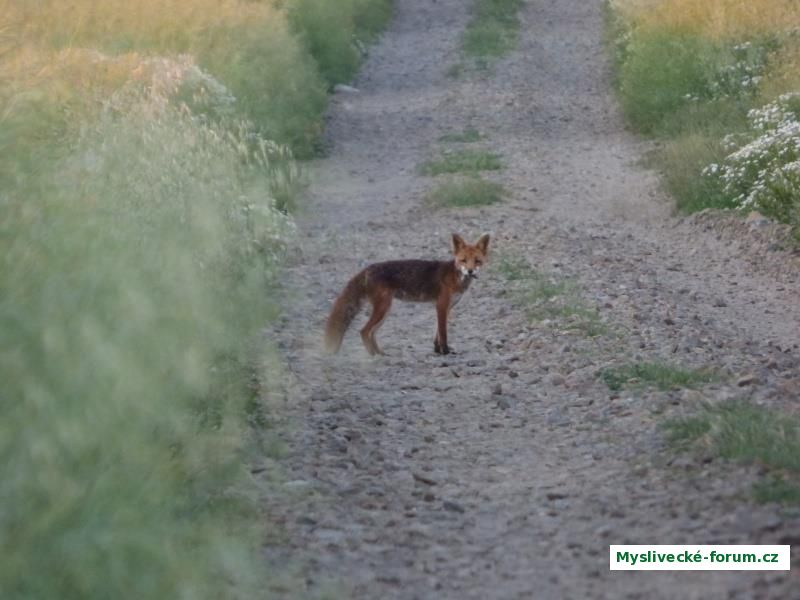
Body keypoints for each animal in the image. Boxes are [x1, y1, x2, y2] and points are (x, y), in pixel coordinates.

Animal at [324, 233, 490, 356]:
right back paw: (373, 356)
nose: (470, 271)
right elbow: (443, 333)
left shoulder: (446, 308)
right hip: (383, 308)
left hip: (385, 311)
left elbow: (436, 332)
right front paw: (445, 352)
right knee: (364, 331)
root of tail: (367, 269)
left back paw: (380, 353)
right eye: (463, 260)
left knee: (371, 332)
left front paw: (437, 350)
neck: (455, 277)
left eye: (477, 261)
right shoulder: (441, 306)